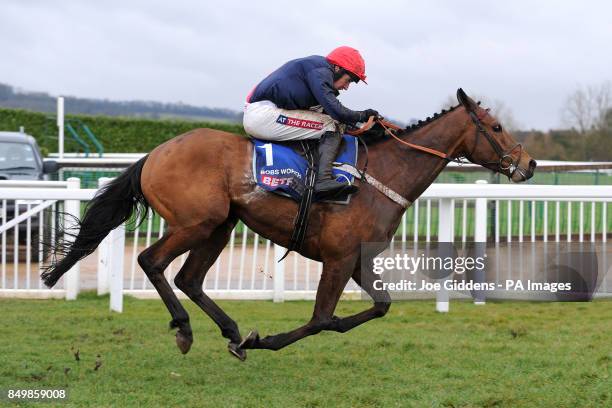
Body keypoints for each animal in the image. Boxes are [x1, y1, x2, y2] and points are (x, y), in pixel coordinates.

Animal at [40, 88, 536, 360]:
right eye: (495, 126)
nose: (529, 164)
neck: (381, 175)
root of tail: (155, 154)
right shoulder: (337, 259)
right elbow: (320, 319)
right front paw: (265, 341)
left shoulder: (357, 259)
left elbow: (379, 306)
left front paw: (251, 339)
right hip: (196, 222)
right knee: (151, 261)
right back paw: (184, 328)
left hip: (220, 226)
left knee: (189, 278)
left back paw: (230, 331)